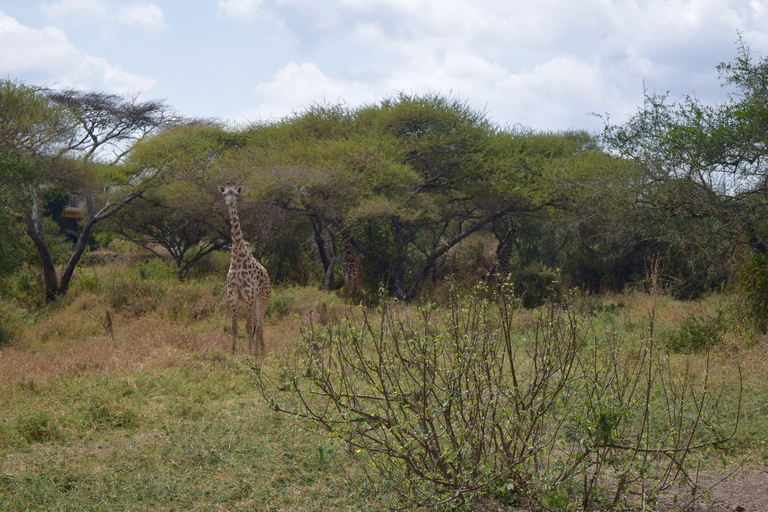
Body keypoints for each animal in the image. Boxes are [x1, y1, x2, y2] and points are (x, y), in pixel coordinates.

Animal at [220, 184, 272, 356]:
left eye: (236, 194)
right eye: (224, 194)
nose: (229, 203)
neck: (237, 257)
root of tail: (268, 276)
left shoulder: (249, 293)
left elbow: (248, 327)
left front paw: (248, 352)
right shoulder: (232, 293)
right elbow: (234, 326)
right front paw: (231, 352)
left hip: (263, 297)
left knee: (260, 323)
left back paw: (260, 351)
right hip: (253, 300)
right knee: (257, 323)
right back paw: (258, 350)